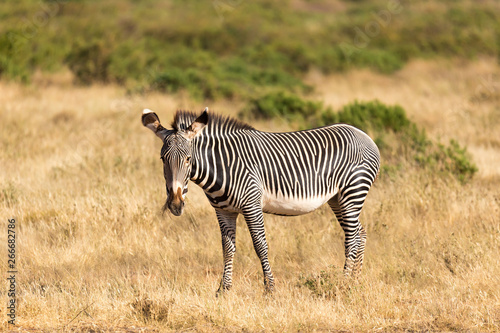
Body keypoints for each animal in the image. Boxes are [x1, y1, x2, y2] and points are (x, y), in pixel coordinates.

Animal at [143, 106, 380, 294]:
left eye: (188, 159)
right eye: (163, 159)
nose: (175, 204)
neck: (223, 166)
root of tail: (363, 134)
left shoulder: (251, 205)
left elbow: (260, 246)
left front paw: (270, 289)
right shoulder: (224, 210)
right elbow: (227, 248)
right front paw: (223, 290)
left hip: (353, 191)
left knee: (352, 238)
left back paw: (343, 284)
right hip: (337, 199)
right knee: (360, 233)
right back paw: (355, 282)